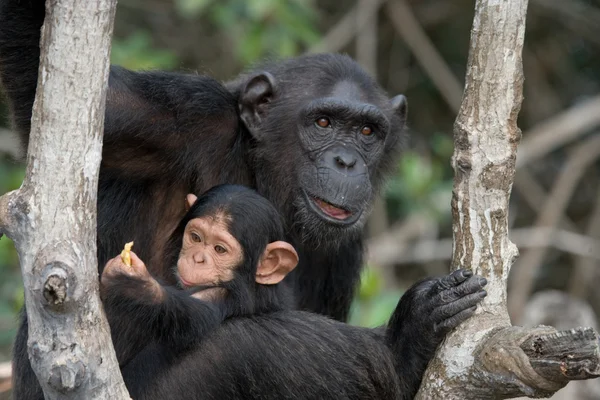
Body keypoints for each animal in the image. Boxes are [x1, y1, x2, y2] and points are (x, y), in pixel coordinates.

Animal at [101, 184, 488, 400]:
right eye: (195, 237)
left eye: (219, 249)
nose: (197, 257)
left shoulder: (221, 296)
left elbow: (192, 316)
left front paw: (133, 282)